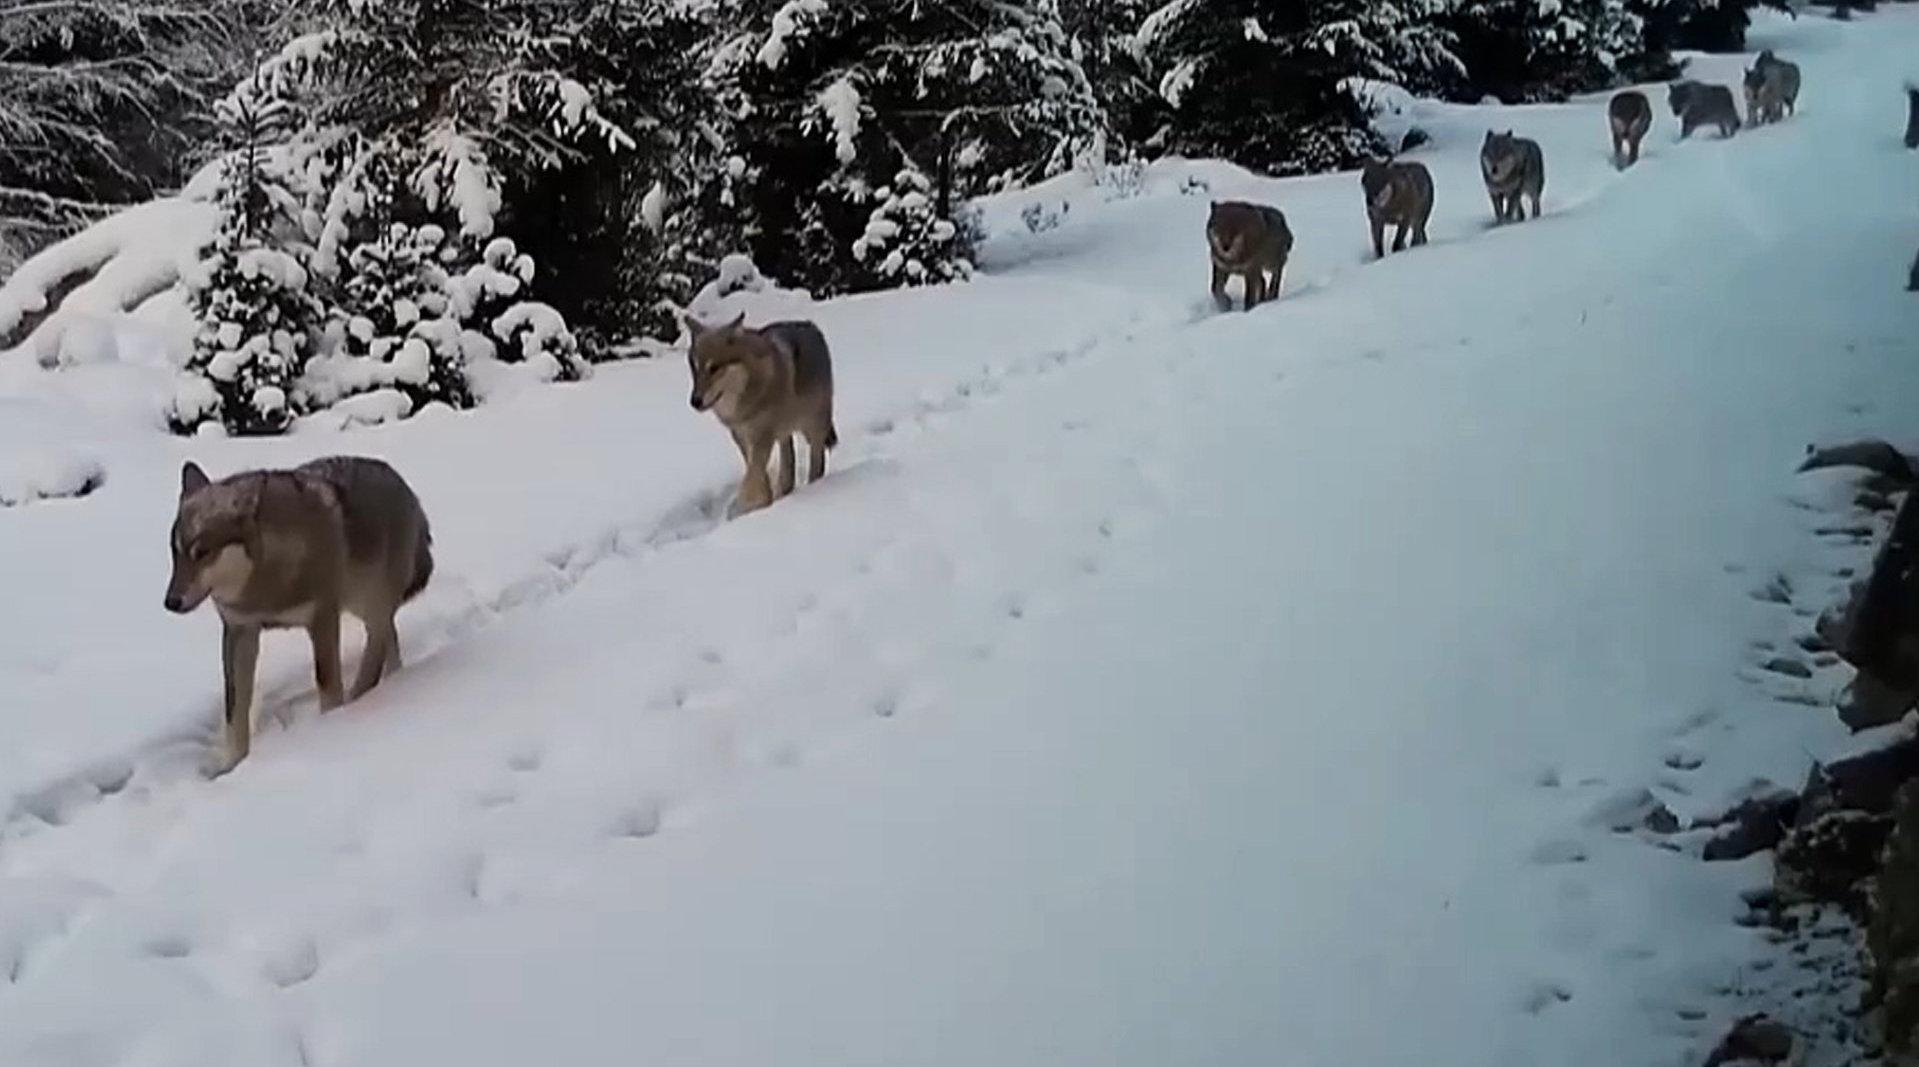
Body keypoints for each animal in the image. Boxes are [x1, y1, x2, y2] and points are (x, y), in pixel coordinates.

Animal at [162, 454, 435, 771]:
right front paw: (231, 766)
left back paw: (362, 695)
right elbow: (235, 710)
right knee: (388, 639)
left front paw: (331, 724)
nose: (171, 602)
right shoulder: (239, 629)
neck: (268, 578)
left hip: (367, 603)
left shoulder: (322, 619)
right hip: (360, 605)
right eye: (176, 551)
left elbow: (327, 684)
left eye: (202, 552)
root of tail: (404, 485)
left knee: (377, 644)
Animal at [690, 312, 840, 518]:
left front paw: (740, 509)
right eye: (694, 368)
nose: (694, 401)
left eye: (714, 368)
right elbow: (757, 474)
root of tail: (810, 324)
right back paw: (784, 491)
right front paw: (764, 502)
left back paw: (814, 486)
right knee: (788, 466)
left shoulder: (763, 436)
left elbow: (752, 476)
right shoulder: (740, 436)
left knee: (817, 464)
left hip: (813, 429)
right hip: (786, 434)